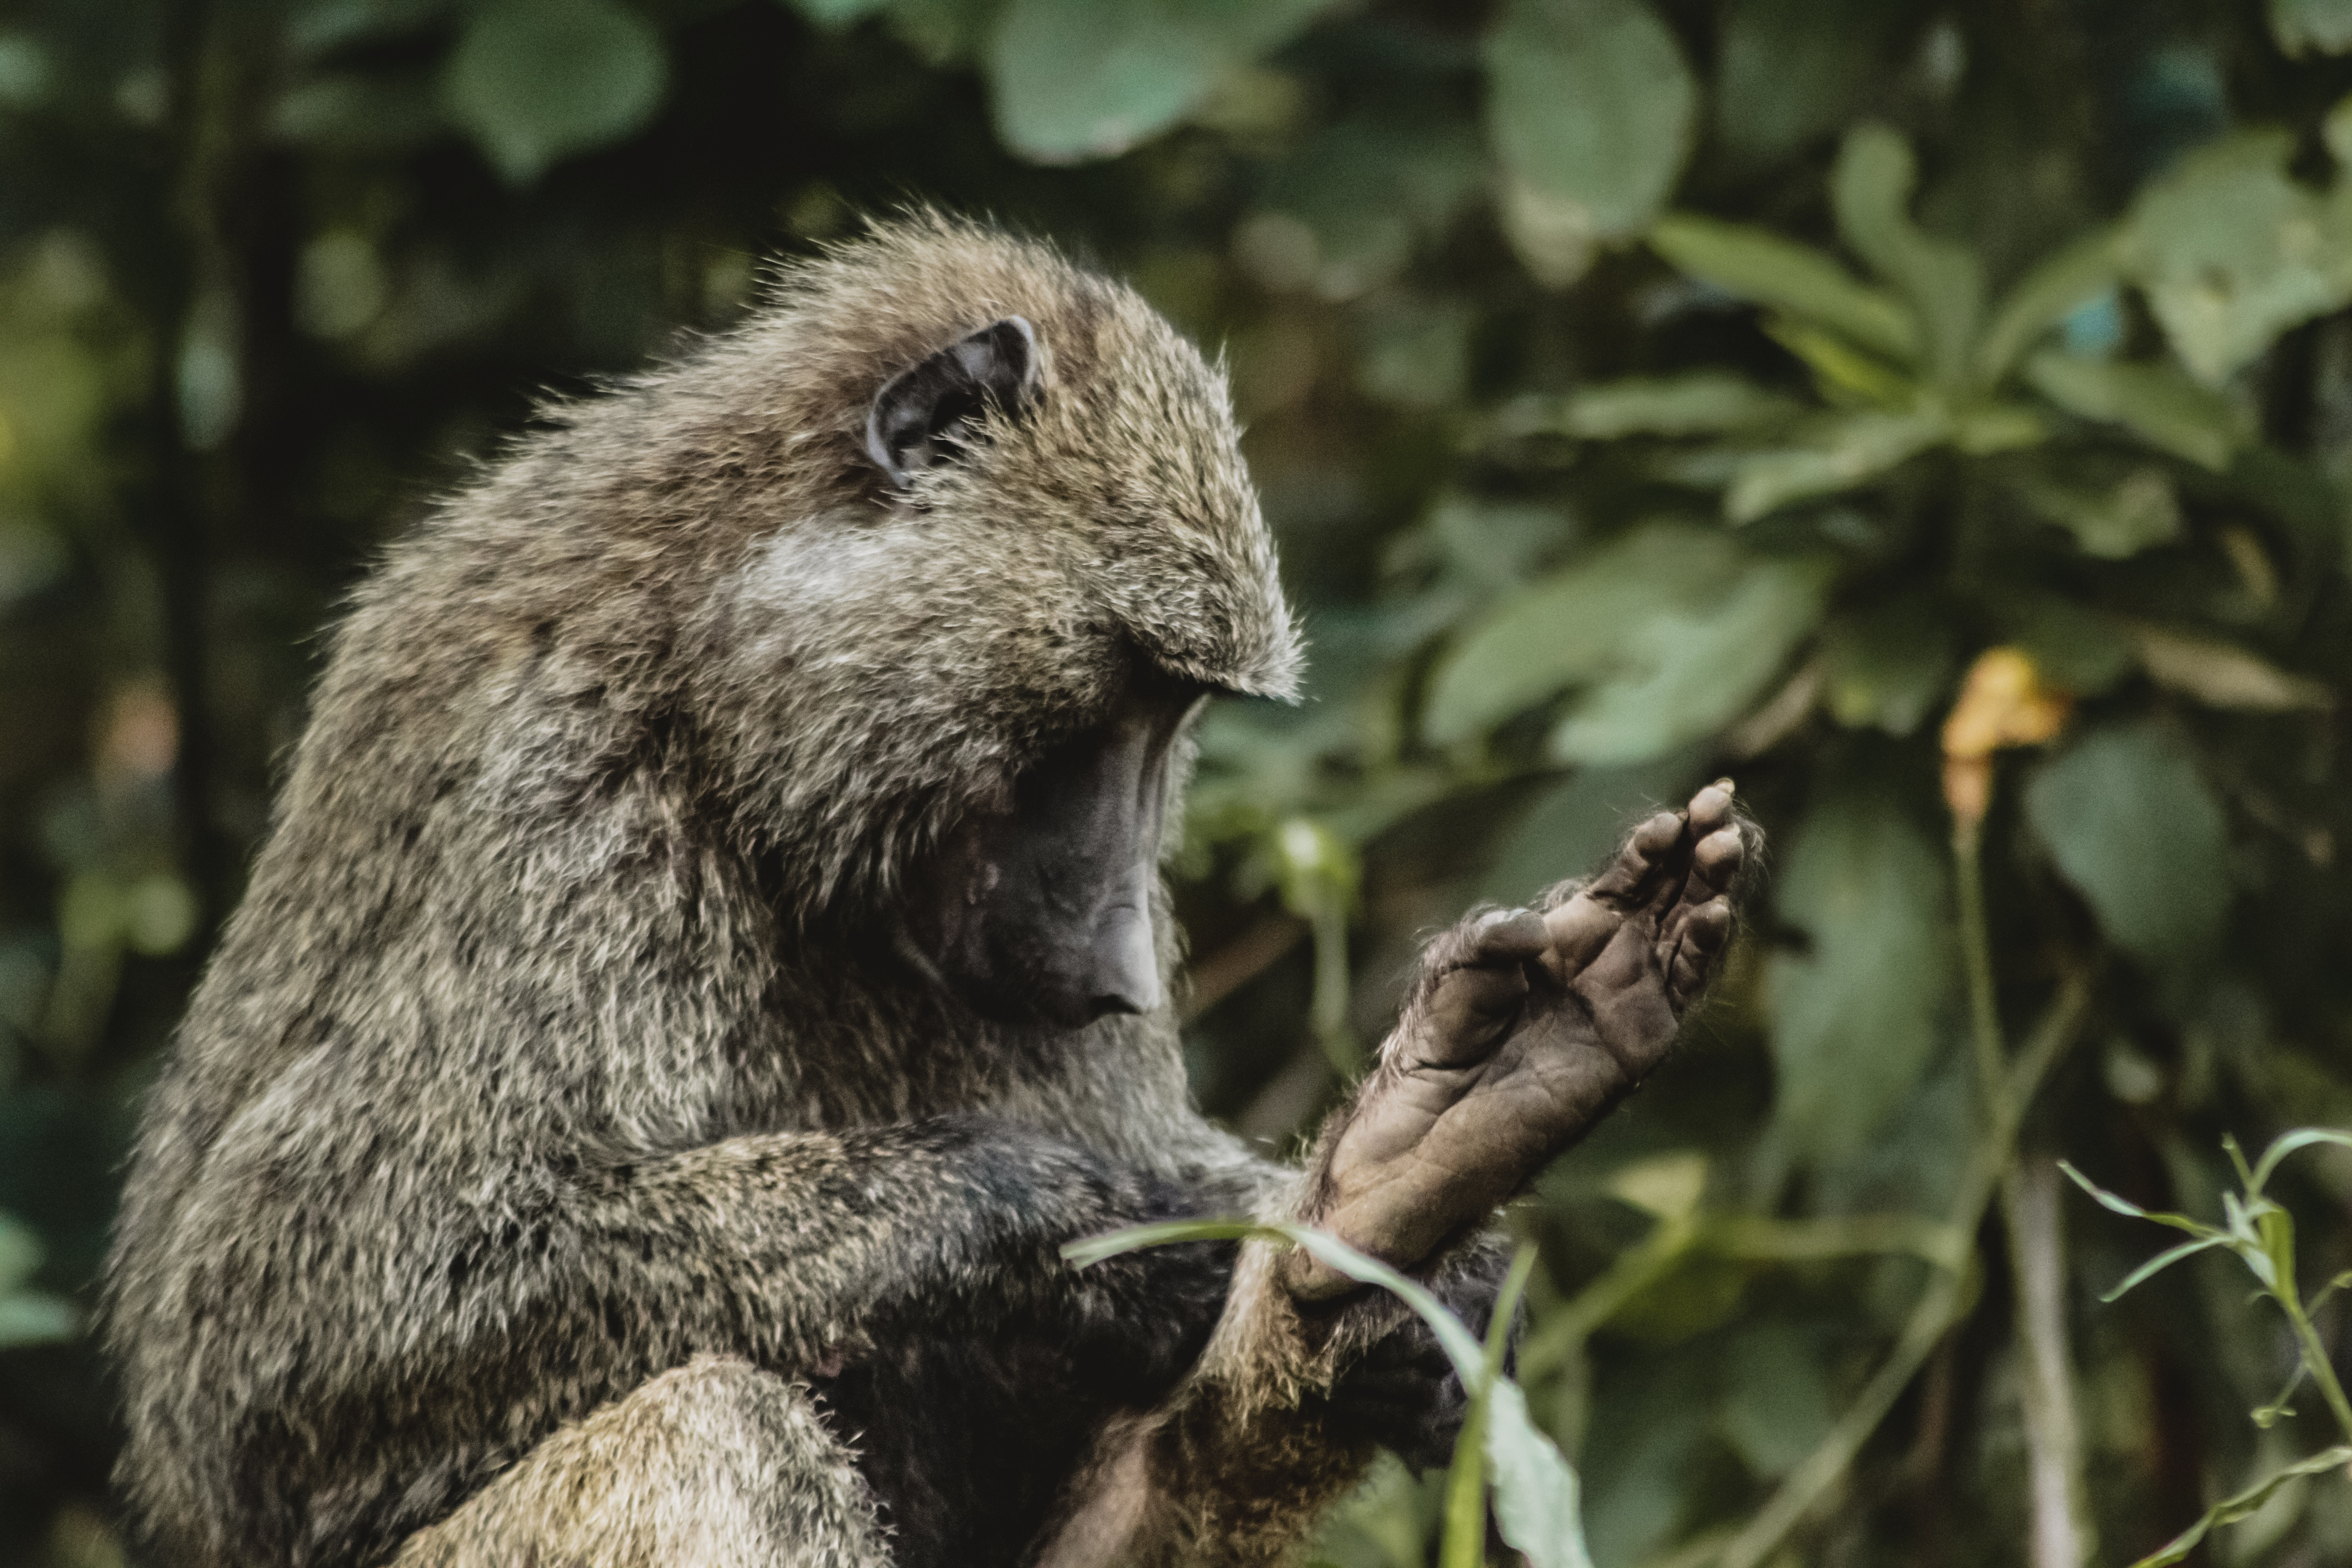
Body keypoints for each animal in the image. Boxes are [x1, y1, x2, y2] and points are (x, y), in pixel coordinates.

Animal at [100, 213, 1754, 1568]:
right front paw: (1081, 1225)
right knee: (705, 1429)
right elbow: (256, 1361)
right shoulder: (551, 808)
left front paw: (1358, 1242)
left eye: (1179, 715)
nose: (1122, 971)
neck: (714, 704)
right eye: (1126, 690)